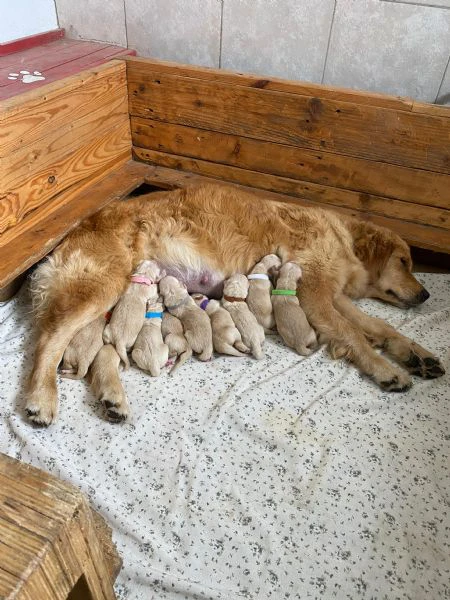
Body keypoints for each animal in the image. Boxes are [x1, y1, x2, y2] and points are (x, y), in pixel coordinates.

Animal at [26, 185, 444, 424]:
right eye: (404, 261)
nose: (426, 295)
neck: (345, 240)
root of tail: (70, 234)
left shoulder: (335, 296)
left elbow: (380, 327)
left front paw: (417, 354)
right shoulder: (315, 293)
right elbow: (353, 334)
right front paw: (386, 370)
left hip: (114, 303)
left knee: (104, 351)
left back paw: (112, 398)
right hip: (101, 287)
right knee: (48, 341)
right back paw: (40, 399)